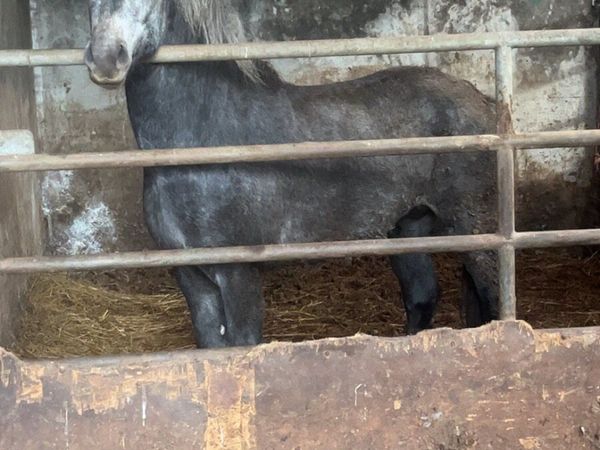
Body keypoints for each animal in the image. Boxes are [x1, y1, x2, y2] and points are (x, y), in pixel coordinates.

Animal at [84, 0, 499, 348]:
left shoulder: (239, 274)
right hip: (406, 229)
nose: (105, 58)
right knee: (421, 299)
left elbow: (243, 345)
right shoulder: (190, 277)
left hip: (476, 228)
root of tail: (482, 100)